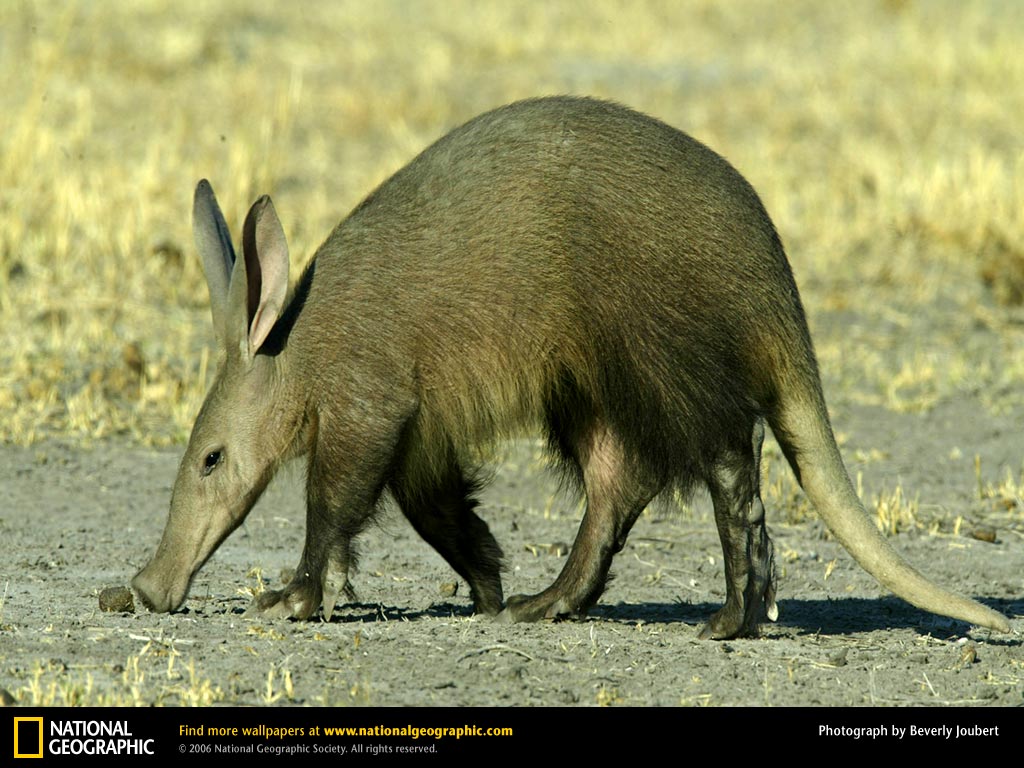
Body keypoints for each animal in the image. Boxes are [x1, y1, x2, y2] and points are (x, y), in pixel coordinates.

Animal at [132, 96, 1010, 638]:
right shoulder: (421, 427)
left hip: (653, 342)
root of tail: (774, 287)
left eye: (210, 459)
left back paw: (735, 616)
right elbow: (436, 506)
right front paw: (487, 586)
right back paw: (546, 602)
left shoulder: (370, 397)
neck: (299, 348)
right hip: (588, 377)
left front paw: (292, 597)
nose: (149, 586)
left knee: (728, 458)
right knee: (618, 480)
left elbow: (335, 503)